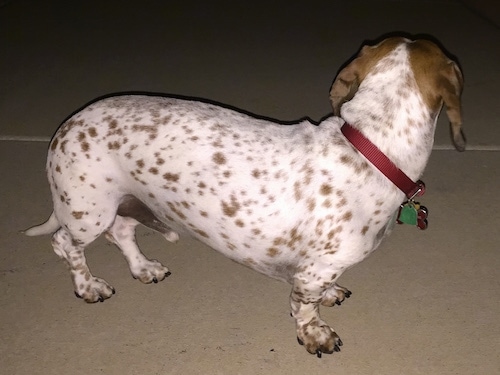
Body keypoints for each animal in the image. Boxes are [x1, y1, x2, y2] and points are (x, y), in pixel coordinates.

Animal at [25, 36, 462, 356]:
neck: (370, 148)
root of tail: (65, 128)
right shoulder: (313, 273)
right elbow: (305, 308)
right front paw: (316, 334)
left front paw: (331, 295)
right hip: (88, 212)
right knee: (65, 244)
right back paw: (88, 286)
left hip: (129, 201)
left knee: (122, 233)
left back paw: (143, 267)